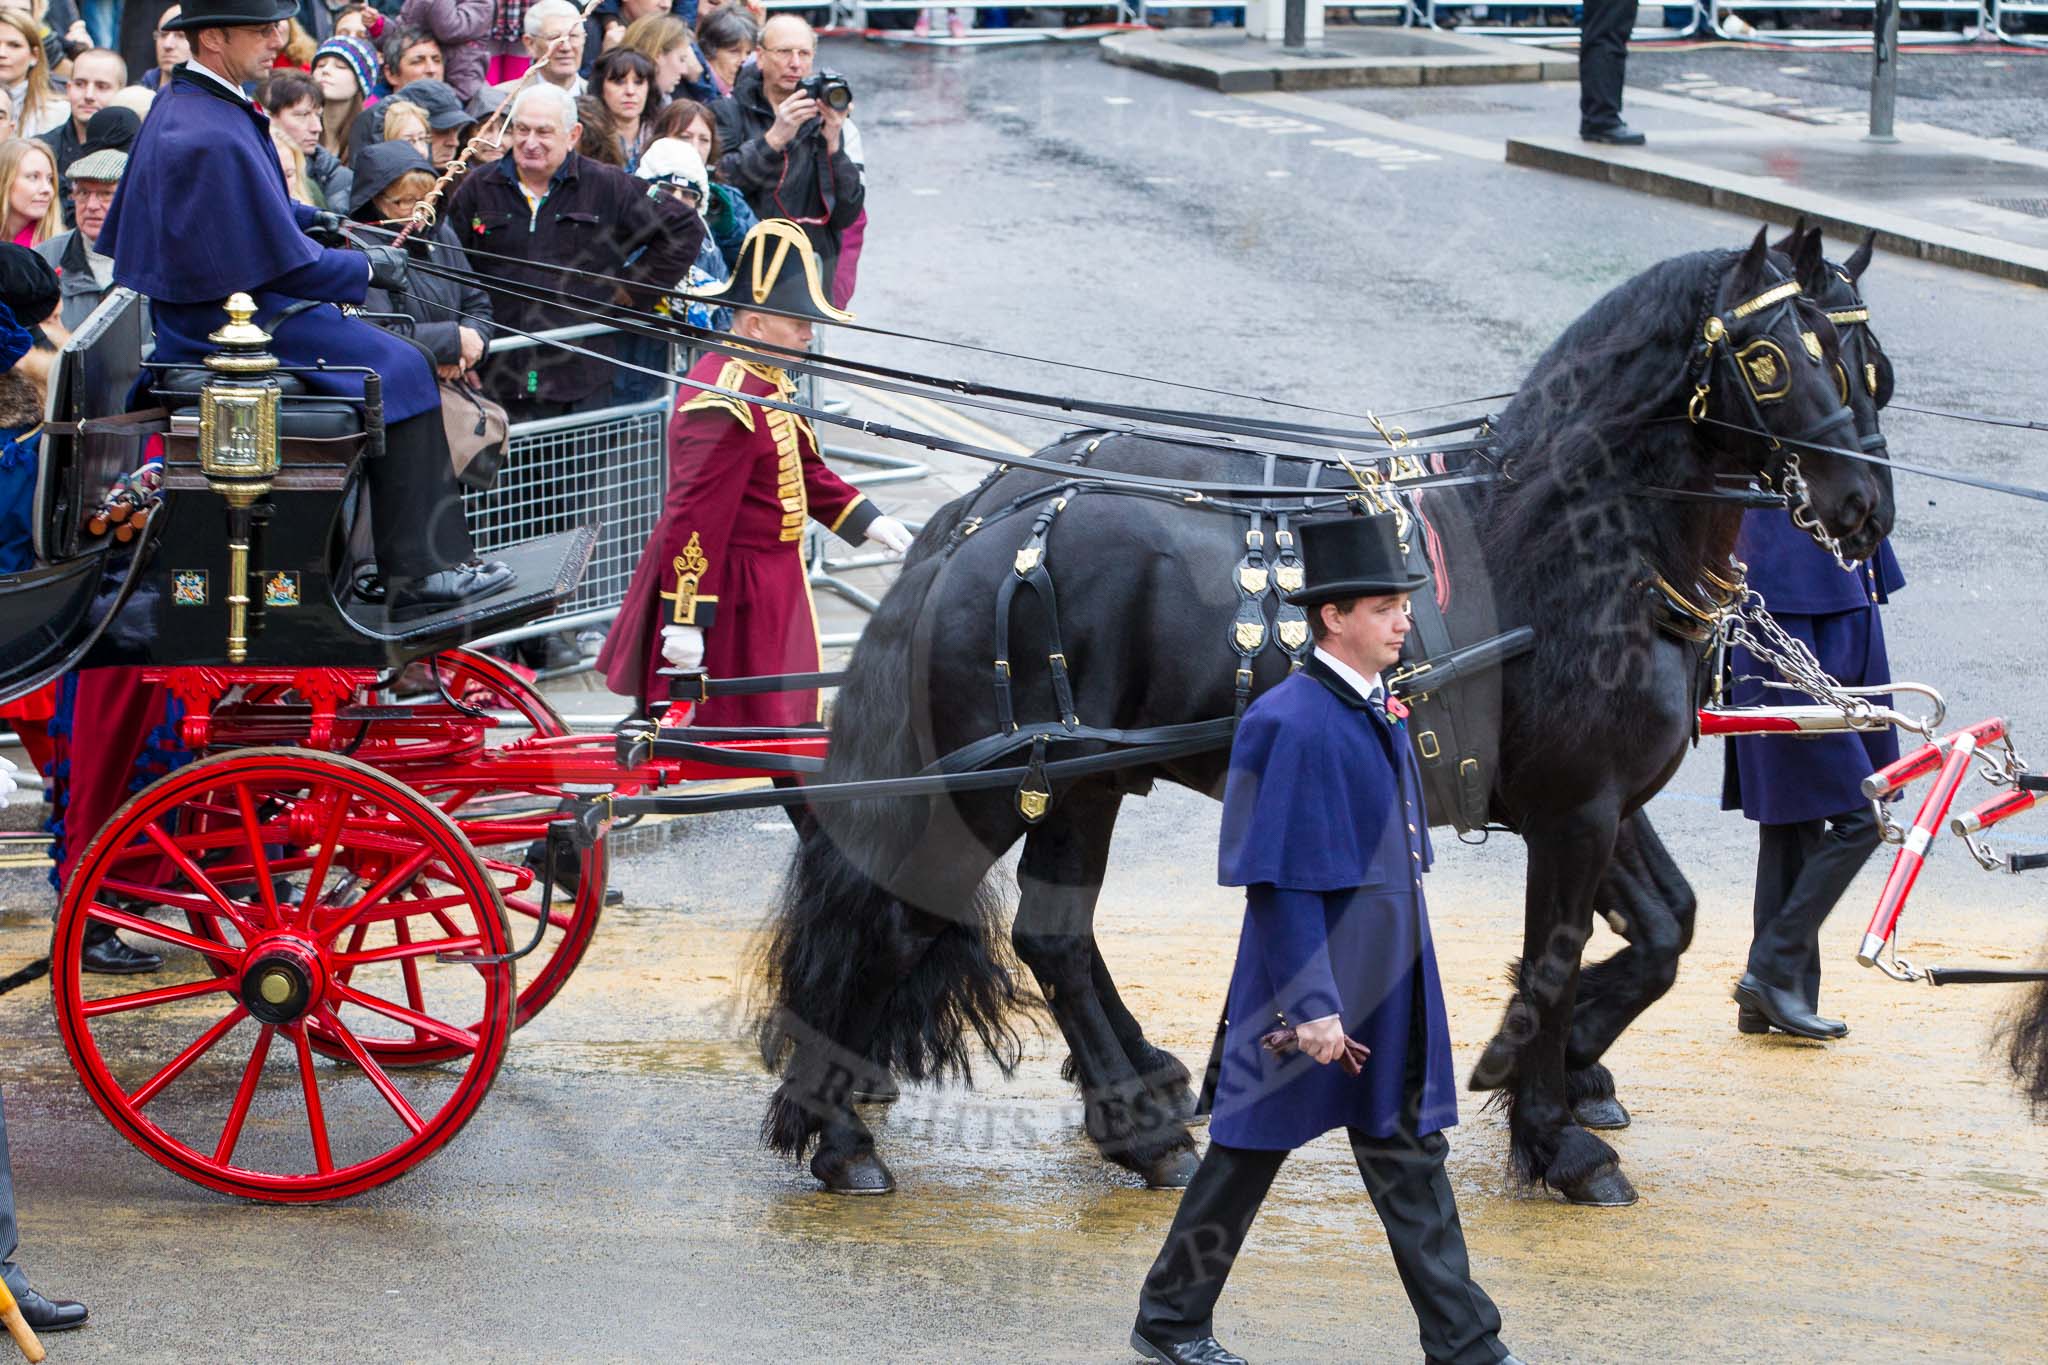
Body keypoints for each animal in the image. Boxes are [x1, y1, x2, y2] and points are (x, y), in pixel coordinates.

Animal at [761, 232, 1892, 1203]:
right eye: (1768, 358)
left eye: (1863, 363)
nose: (1863, 507)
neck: (1571, 538)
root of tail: (990, 516)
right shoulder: (1574, 810)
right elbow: (1558, 958)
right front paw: (1554, 1133)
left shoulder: (1599, 802)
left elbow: (1663, 931)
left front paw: (1558, 1067)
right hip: (1004, 781)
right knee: (925, 917)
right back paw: (859, 1130)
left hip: (1080, 781)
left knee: (1050, 935)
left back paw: (1130, 1108)